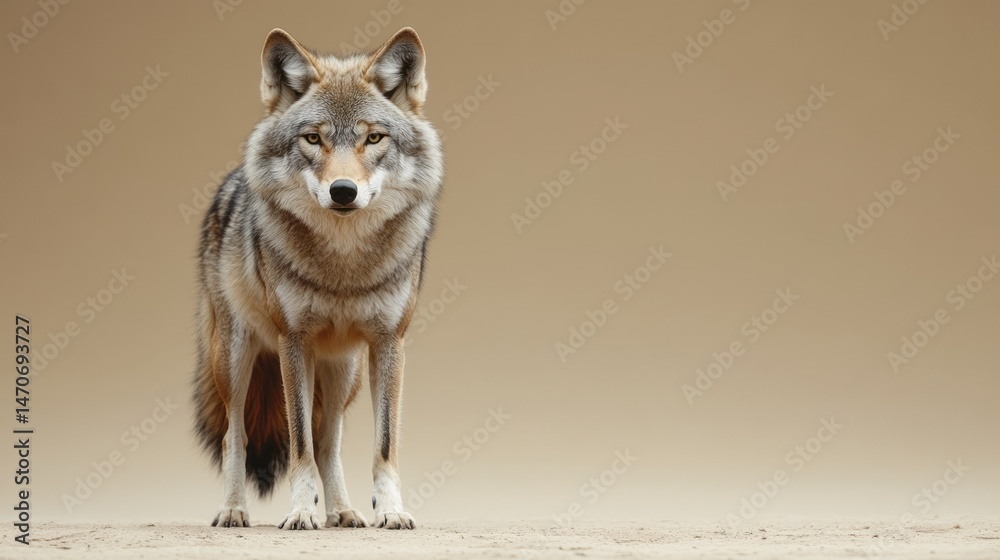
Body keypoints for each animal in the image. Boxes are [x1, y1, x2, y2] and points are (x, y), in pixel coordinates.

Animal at [192, 27, 443, 530]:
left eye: (373, 138)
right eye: (313, 138)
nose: (343, 191)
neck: (343, 267)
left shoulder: (390, 344)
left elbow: (381, 446)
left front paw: (390, 511)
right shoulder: (294, 343)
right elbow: (299, 445)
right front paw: (300, 513)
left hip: (343, 372)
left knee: (330, 441)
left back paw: (343, 512)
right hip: (235, 359)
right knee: (235, 435)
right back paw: (233, 510)